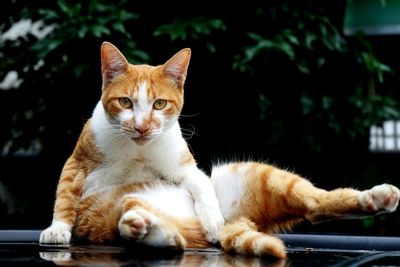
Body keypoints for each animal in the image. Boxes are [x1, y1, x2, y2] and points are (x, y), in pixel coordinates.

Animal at [39, 42, 400, 260]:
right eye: (126, 102)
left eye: (159, 104)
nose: (141, 127)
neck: (135, 150)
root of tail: (243, 222)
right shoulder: (77, 162)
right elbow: (65, 196)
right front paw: (58, 228)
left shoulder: (187, 168)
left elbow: (201, 186)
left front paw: (212, 219)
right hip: (119, 212)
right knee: (157, 233)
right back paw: (146, 227)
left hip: (256, 174)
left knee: (315, 204)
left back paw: (376, 197)